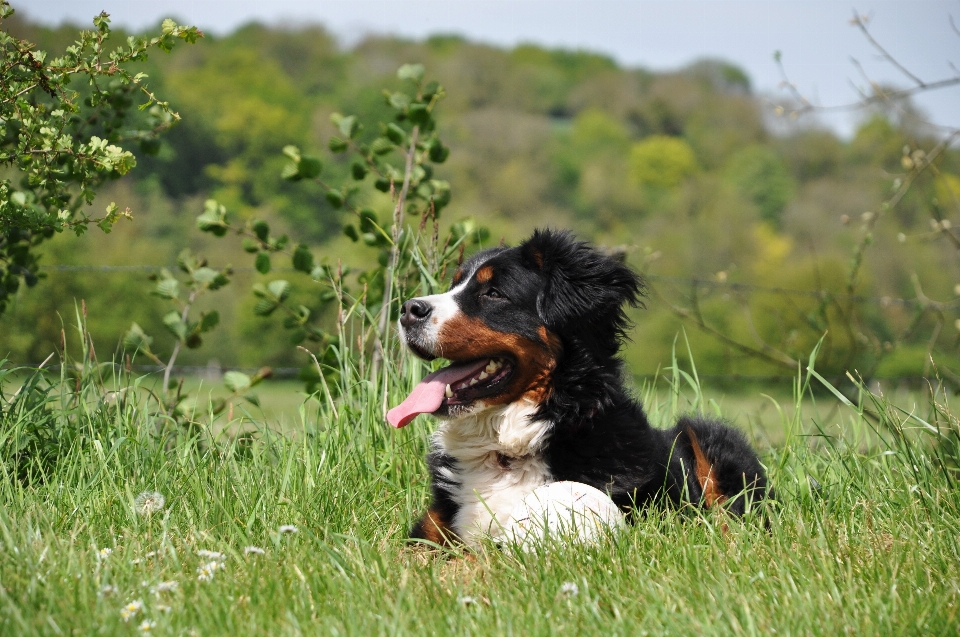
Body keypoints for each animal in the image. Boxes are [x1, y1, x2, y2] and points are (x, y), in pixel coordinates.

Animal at [386, 229, 768, 548]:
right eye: (454, 285)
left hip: (707, 438)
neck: (505, 452)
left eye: (493, 293)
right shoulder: (430, 531)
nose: (407, 310)